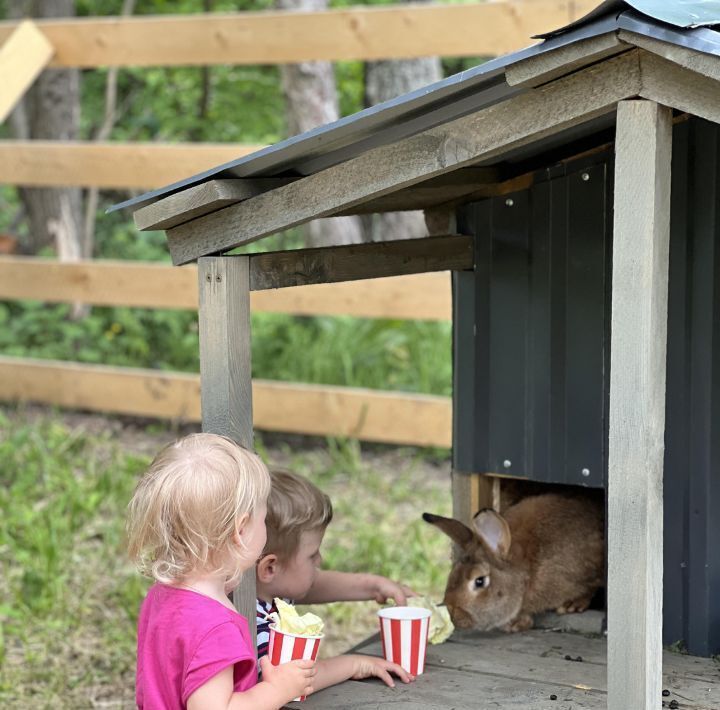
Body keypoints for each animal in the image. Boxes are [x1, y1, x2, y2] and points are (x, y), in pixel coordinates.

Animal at [424, 496, 604, 636]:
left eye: (479, 581)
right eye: (452, 573)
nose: (452, 614)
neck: (529, 570)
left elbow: (590, 587)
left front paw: (573, 604)